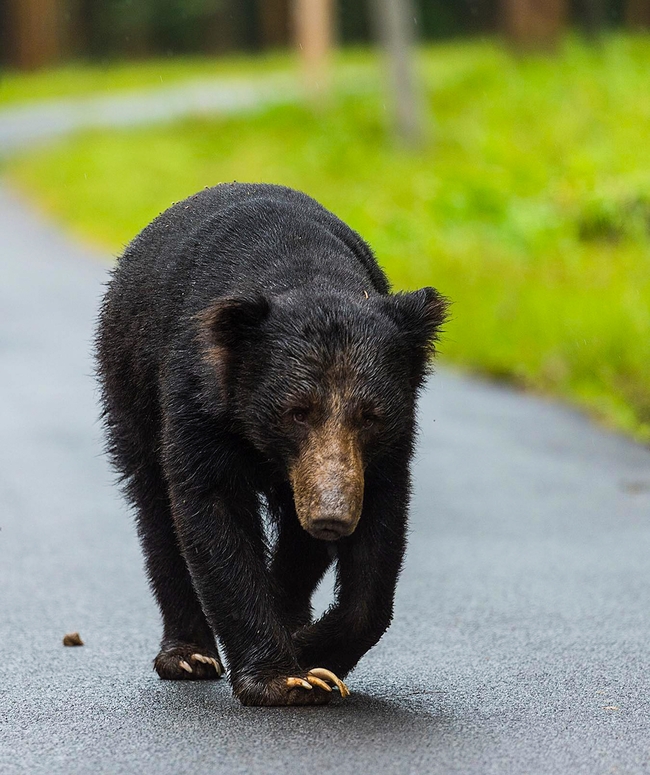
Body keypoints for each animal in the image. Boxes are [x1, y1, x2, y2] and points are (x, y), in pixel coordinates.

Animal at [95, 183, 448, 706]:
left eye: (370, 415)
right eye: (297, 411)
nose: (331, 516)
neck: (307, 273)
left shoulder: (382, 448)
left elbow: (380, 529)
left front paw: (311, 654)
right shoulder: (199, 400)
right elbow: (213, 513)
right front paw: (283, 677)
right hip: (131, 389)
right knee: (155, 508)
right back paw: (188, 654)